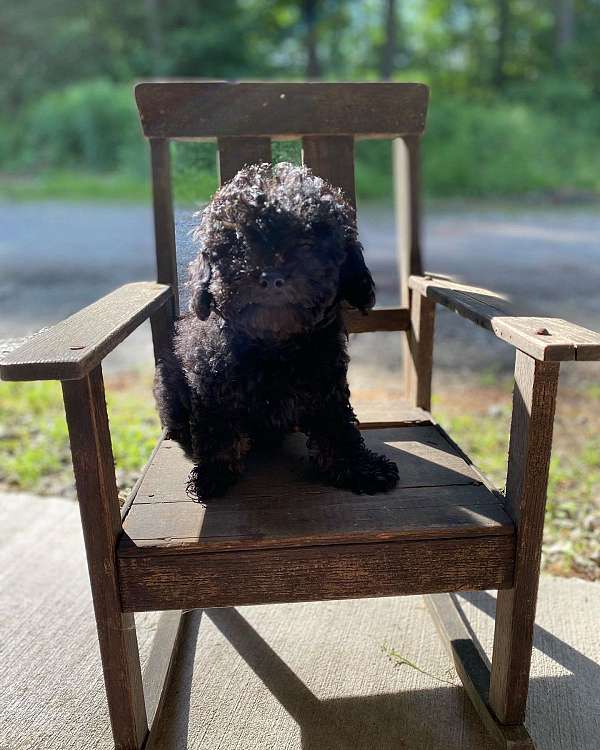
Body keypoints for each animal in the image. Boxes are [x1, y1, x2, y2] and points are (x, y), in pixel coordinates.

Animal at [155, 163, 398, 500]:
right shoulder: (211, 386)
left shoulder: (326, 383)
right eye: (240, 244)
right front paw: (215, 474)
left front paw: (359, 468)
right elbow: (218, 430)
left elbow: (337, 426)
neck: (274, 346)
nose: (271, 277)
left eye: (307, 245)